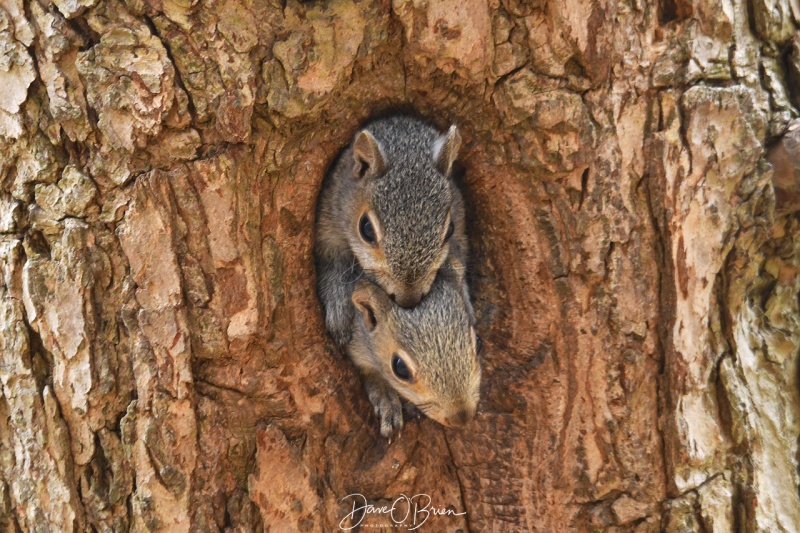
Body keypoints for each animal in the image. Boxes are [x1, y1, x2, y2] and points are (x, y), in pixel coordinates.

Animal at [314, 115, 476, 350]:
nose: (408, 301)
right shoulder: (327, 230)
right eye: (366, 229)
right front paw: (339, 313)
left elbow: (458, 262)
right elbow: (332, 266)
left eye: (450, 229)